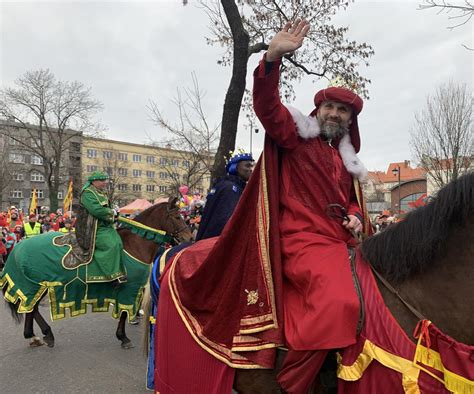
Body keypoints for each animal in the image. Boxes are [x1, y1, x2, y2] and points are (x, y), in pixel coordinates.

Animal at [3, 200, 193, 348]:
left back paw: (35, 336)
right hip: (36, 283)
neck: (135, 244)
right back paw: (44, 334)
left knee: (31, 308)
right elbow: (124, 313)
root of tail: (19, 246)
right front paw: (123, 337)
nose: (189, 238)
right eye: (177, 217)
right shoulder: (129, 288)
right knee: (31, 307)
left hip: (36, 284)